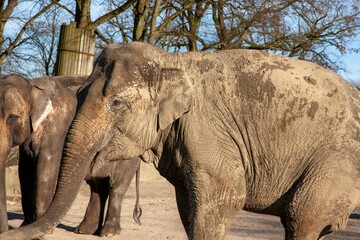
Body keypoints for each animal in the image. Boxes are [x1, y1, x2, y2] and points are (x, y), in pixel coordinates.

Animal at [0, 75, 141, 236]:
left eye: (12, 118)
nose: (5, 231)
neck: (33, 85)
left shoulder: (58, 130)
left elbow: (46, 170)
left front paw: (44, 230)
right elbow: (25, 172)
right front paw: (26, 226)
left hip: (130, 149)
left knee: (117, 186)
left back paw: (108, 233)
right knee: (97, 186)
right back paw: (84, 231)